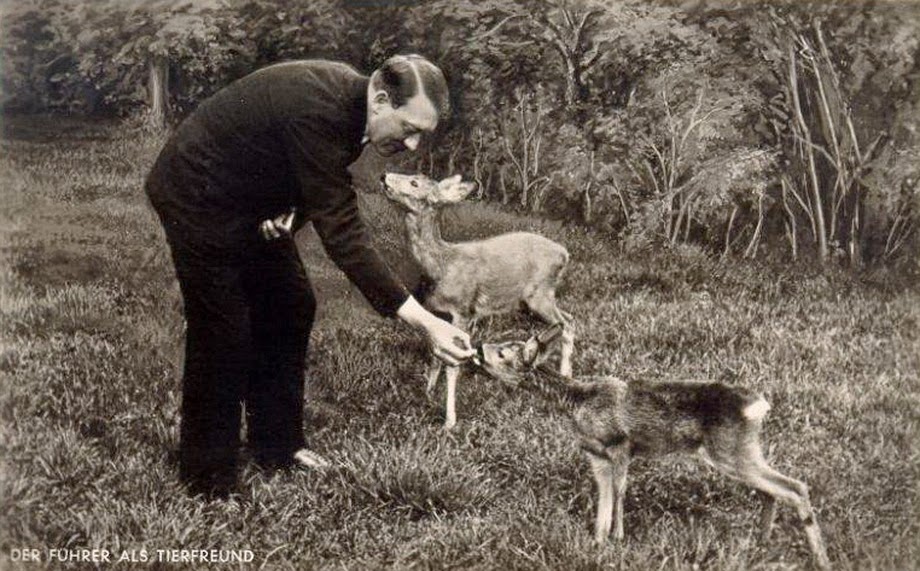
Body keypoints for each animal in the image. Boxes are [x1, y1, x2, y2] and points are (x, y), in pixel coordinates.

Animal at [378, 172, 572, 432]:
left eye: (414, 183)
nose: (384, 176)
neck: (442, 265)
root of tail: (564, 253)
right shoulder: (438, 313)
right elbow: (436, 355)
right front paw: (428, 392)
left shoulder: (464, 311)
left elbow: (453, 366)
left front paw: (449, 420)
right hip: (534, 300)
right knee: (567, 319)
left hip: (539, 294)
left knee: (567, 324)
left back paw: (565, 375)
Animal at [474, 326, 832, 571]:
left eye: (503, 353)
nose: (477, 346)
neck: (579, 401)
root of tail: (757, 406)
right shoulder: (596, 455)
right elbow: (604, 500)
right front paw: (598, 542)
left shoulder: (621, 444)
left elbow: (619, 493)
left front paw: (618, 538)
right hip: (740, 451)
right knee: (772, 490)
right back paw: (762, 543)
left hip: (731, 451)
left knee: (795, 486)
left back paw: (820, 558)